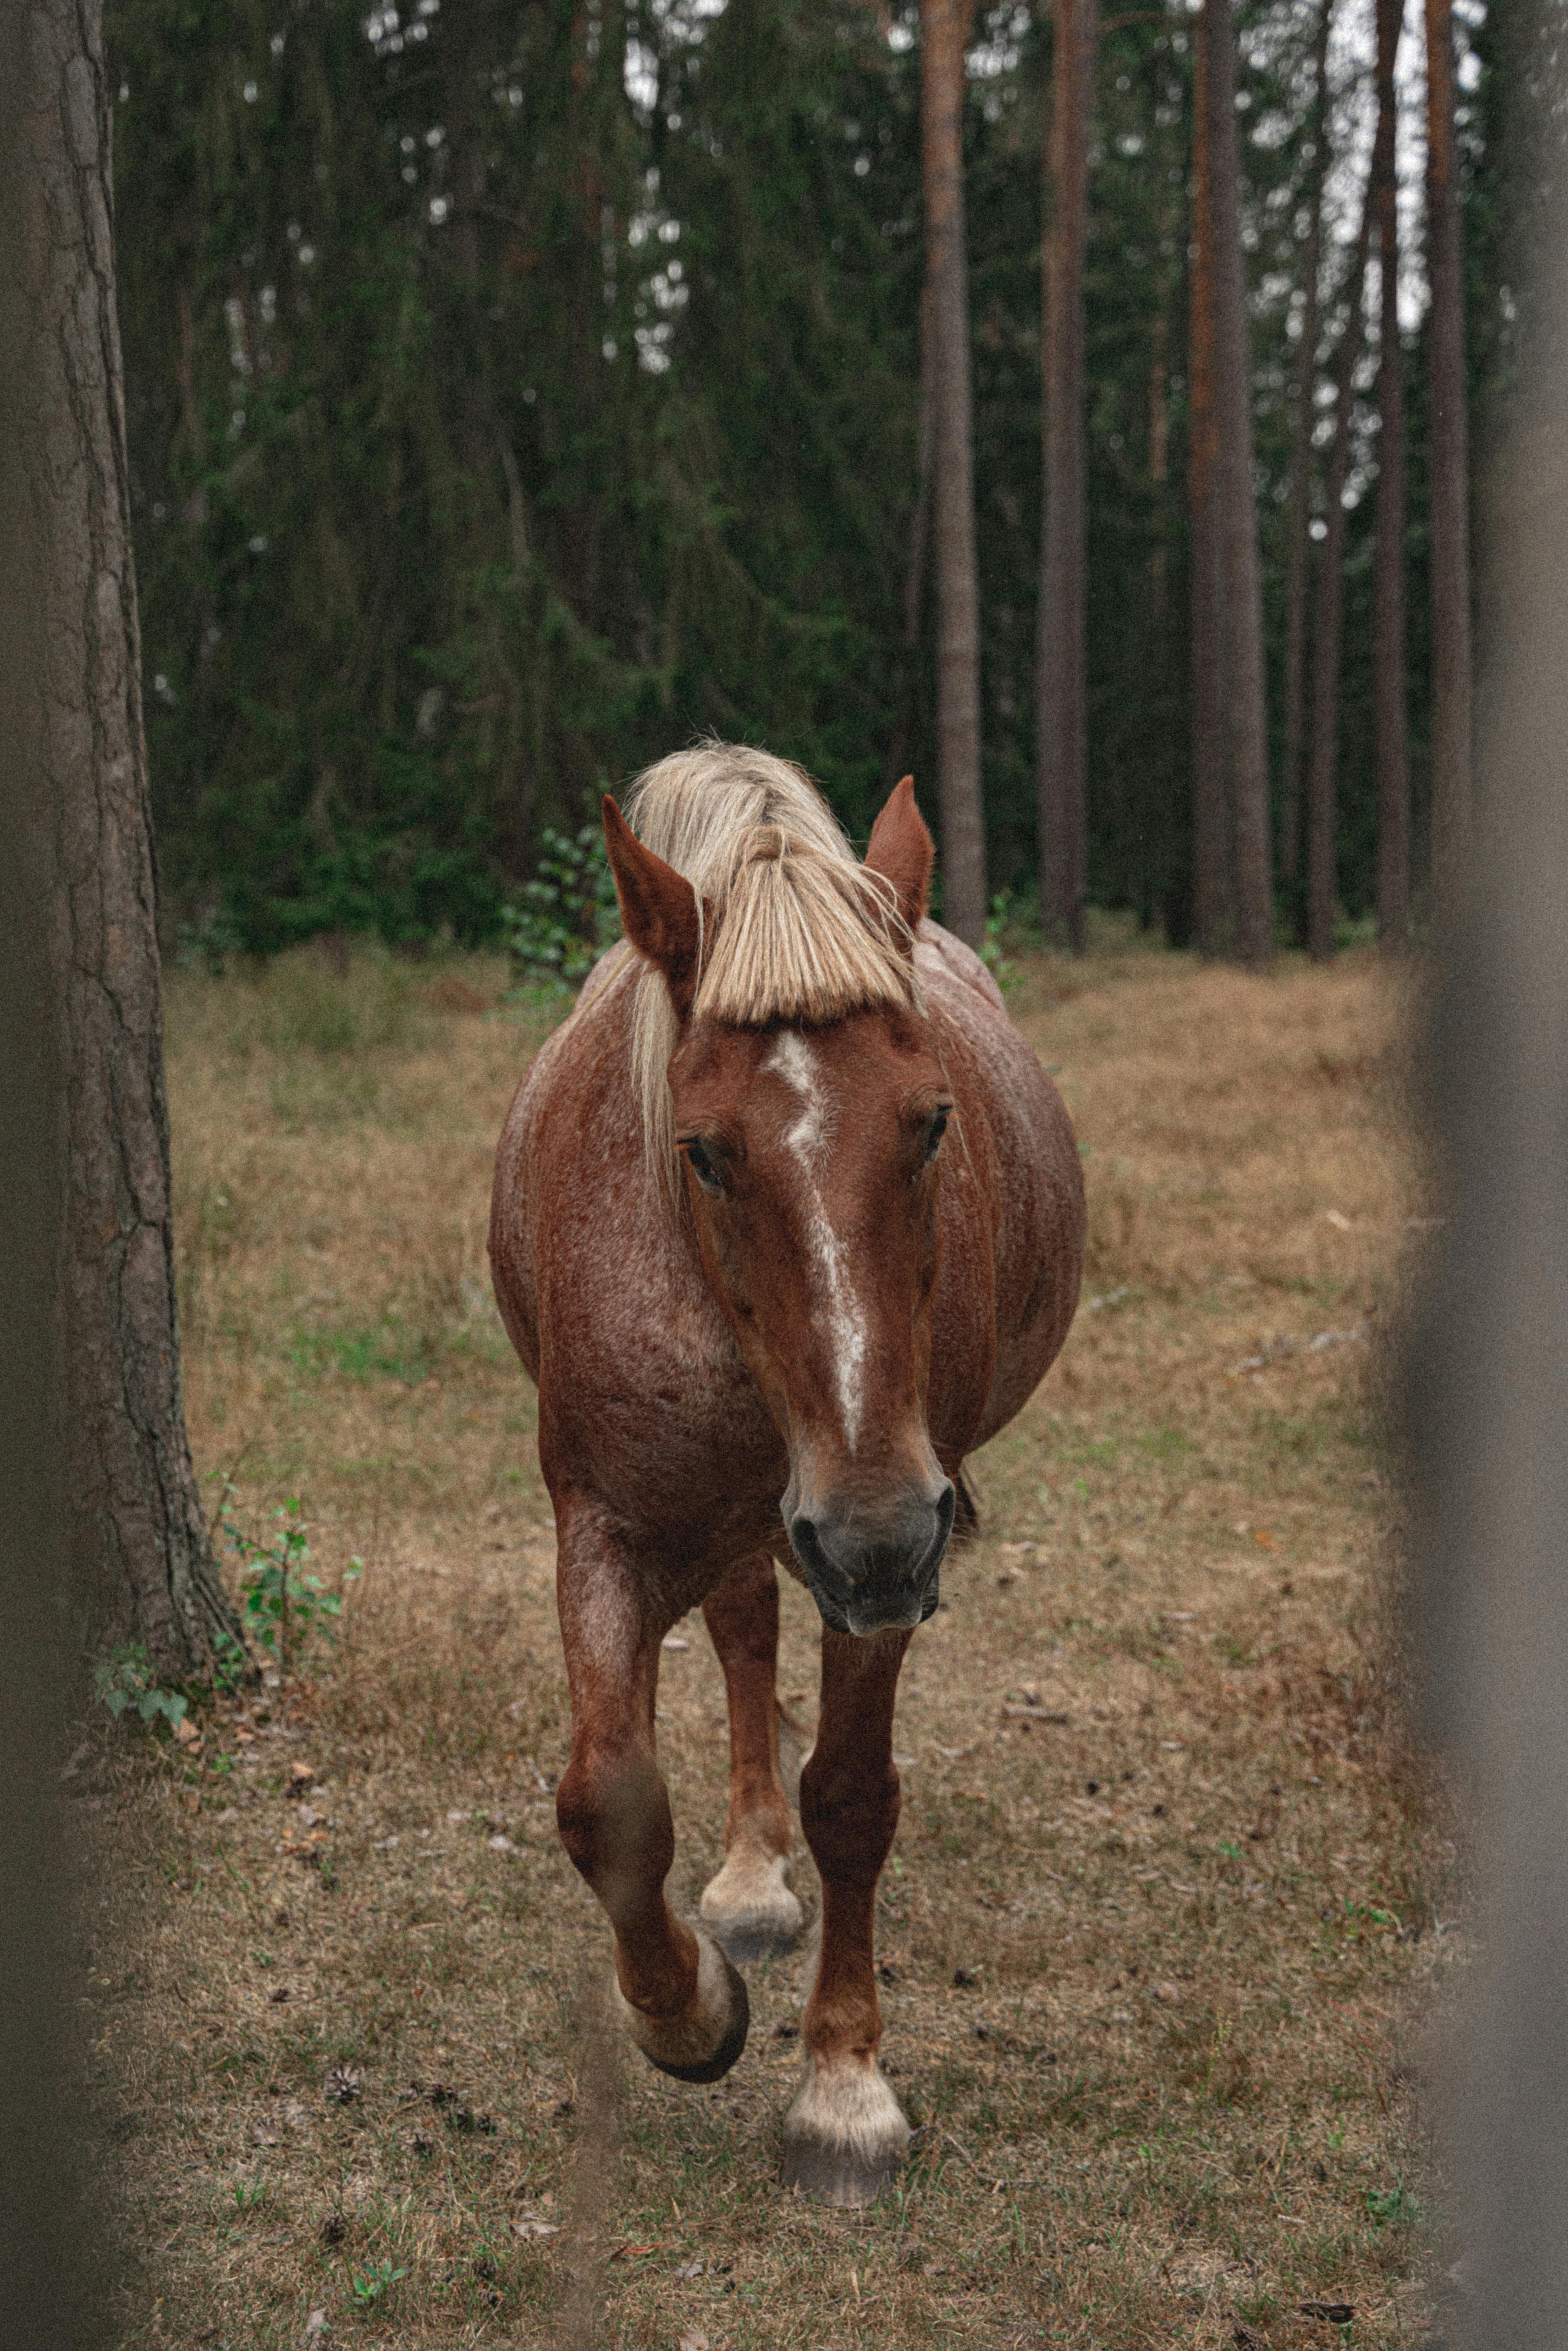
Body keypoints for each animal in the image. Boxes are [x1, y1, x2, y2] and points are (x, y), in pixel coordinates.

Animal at [489, 744, 1085, 2205]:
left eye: (931, 1124)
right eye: (706, 1149)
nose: (876, 1536)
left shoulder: (882, 1544)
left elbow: (852, 1797)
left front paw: (841, 2089)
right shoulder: (603, 1520)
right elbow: (605, 1795)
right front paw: (685, 2010)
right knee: (743, 1624)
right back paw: (749, 1882)